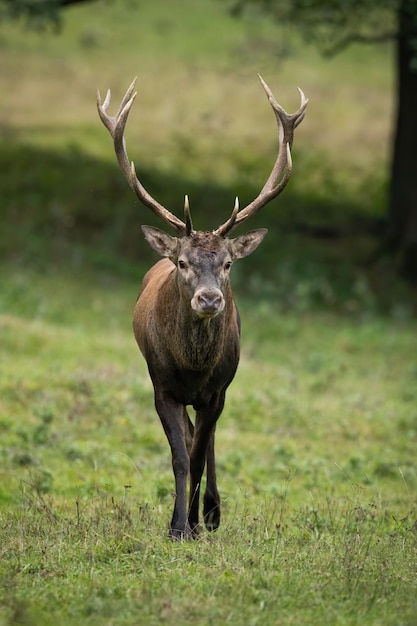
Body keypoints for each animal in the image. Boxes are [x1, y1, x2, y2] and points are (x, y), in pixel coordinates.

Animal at [96, 77, 306, 536]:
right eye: (183, 262)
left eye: (228, 263)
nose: (209, 298)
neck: (192, 368)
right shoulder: (161, 387)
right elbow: (179, 456)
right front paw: (176, 526)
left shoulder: (218, 390)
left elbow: (196, 454)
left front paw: (192, 523)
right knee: (195, 436)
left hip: (221, 391)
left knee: (207, 440)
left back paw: (210, 512)